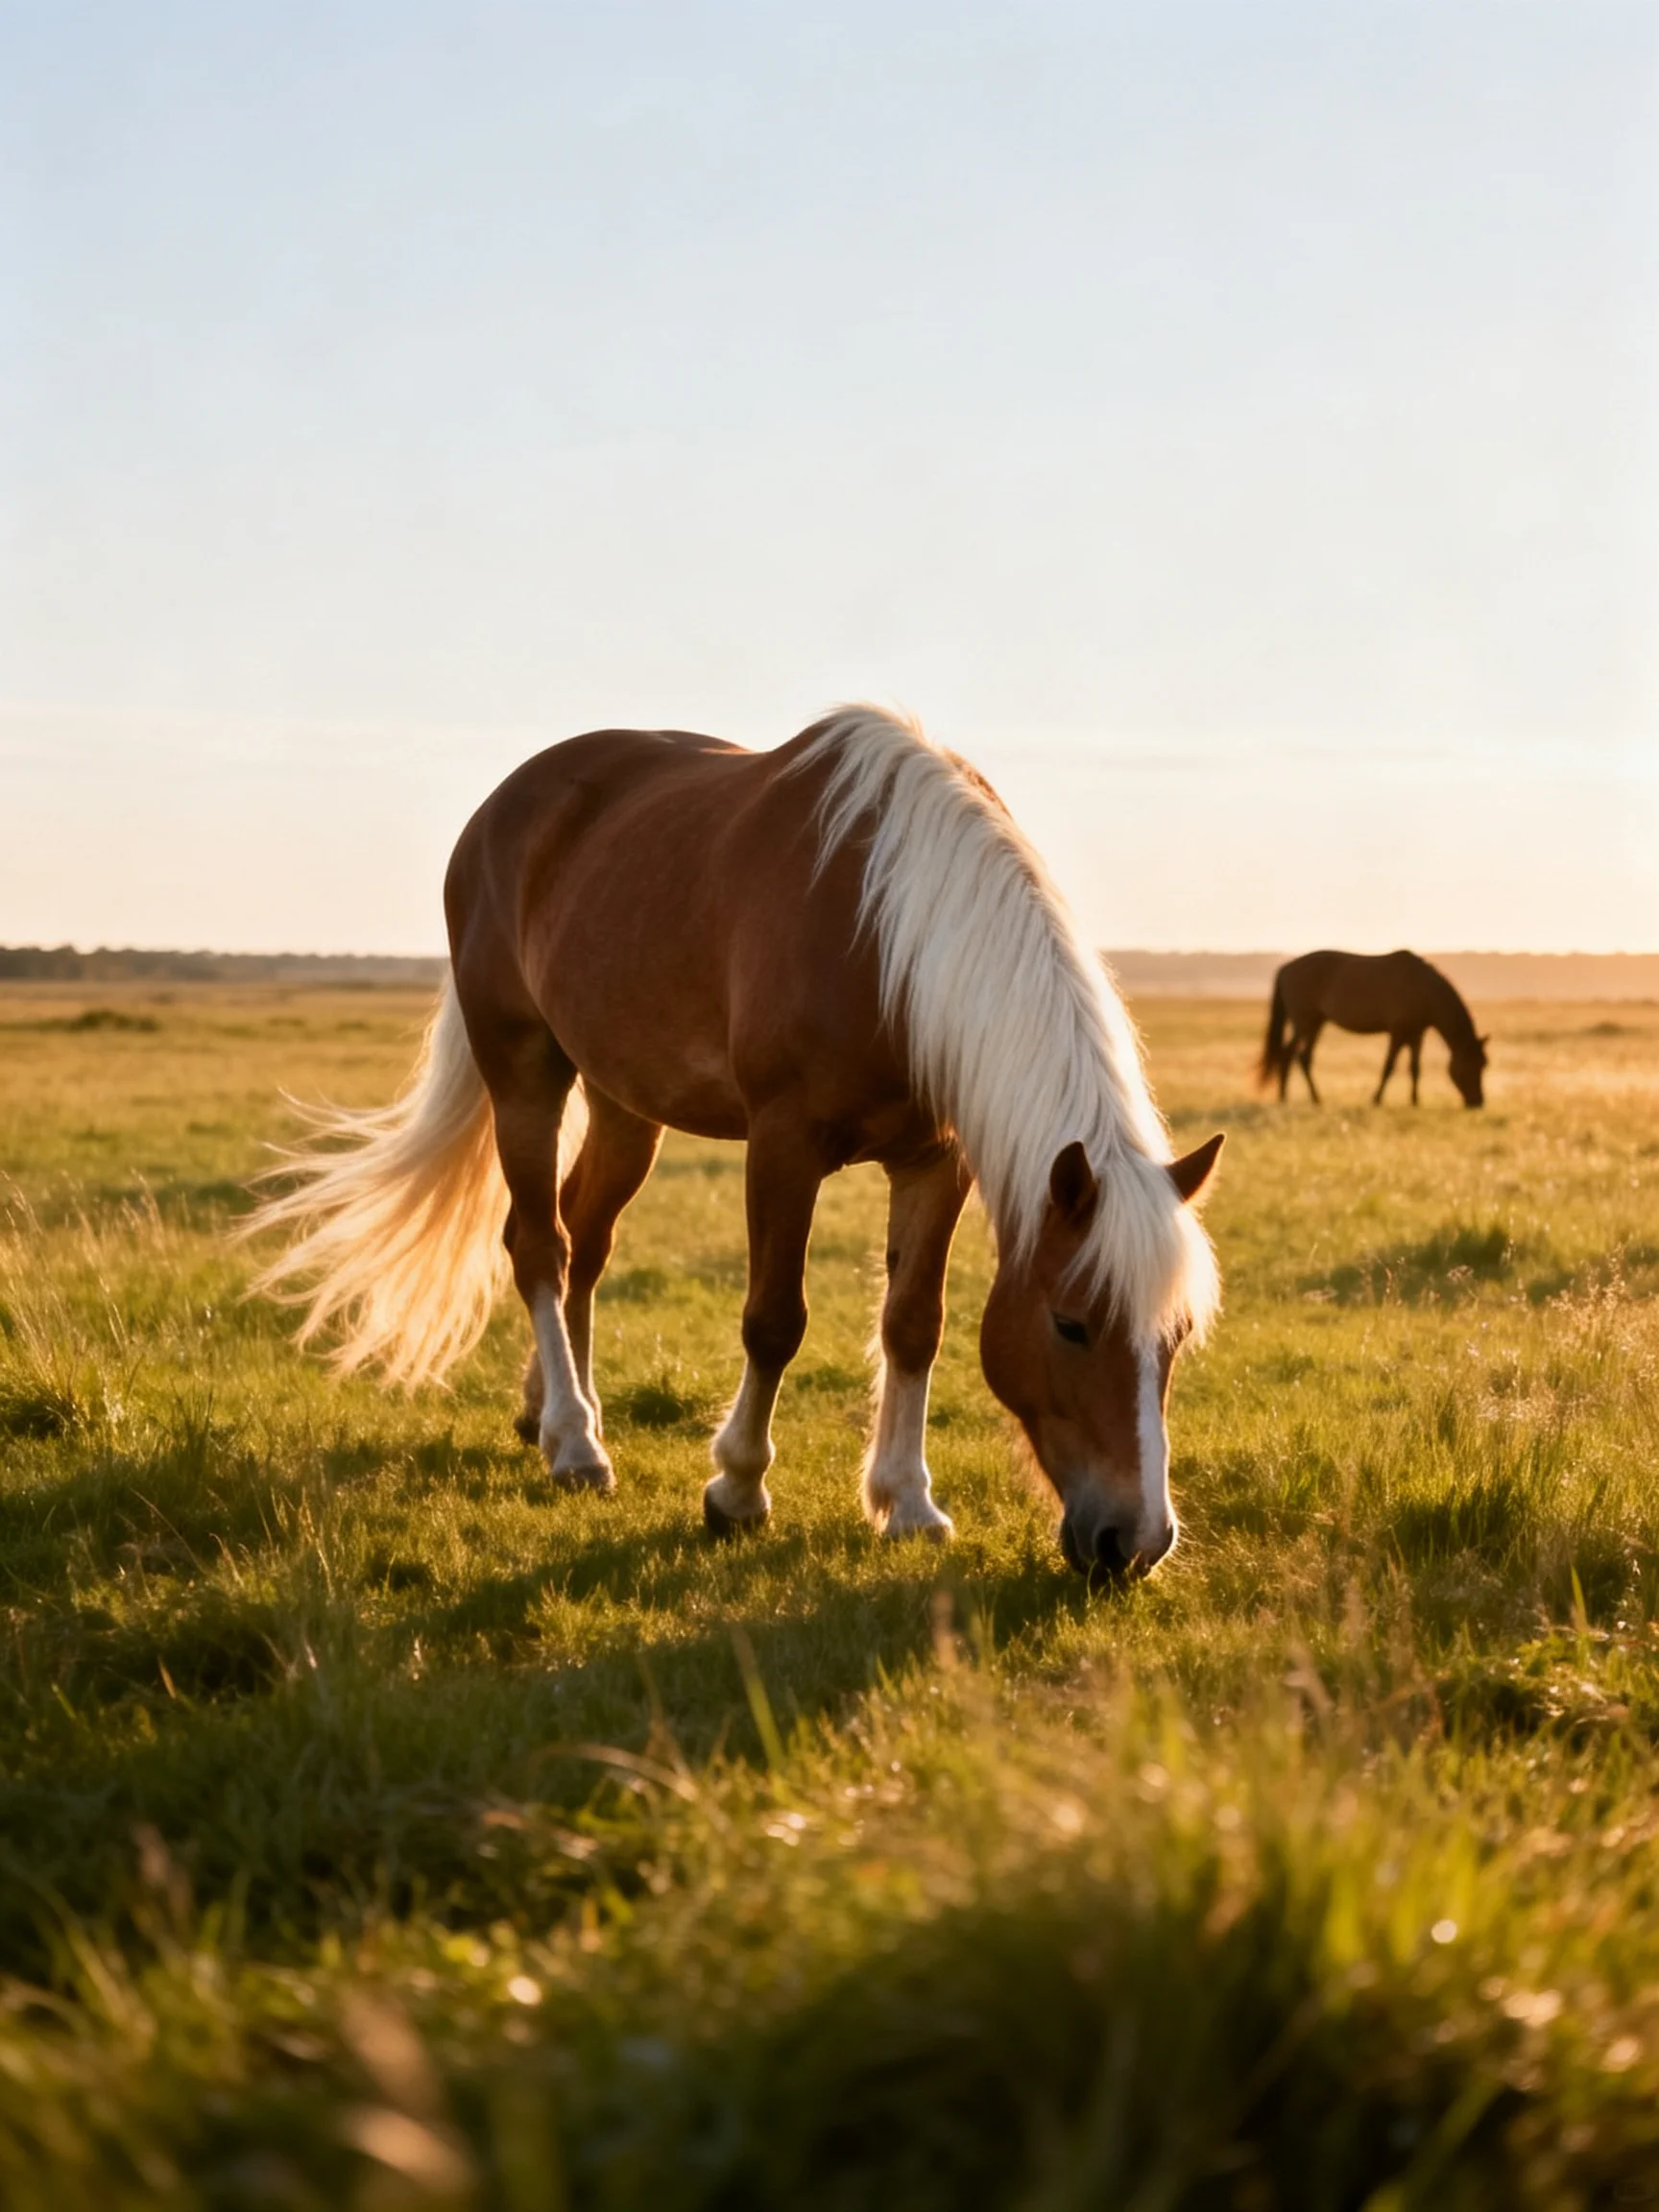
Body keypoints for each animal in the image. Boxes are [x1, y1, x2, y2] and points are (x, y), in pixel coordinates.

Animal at [248, 708, 1223, 1580]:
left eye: (1174, 1336)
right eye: (1071, 1324)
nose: (1136, 1543)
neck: (887, 931)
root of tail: (501, 809)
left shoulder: (935, 1161)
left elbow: (914, 1324)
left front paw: (906, 1502)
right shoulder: (783, 1144)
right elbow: (774, 1320)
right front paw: (738, 1490)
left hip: (623, 1103)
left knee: (583, 1243)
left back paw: (548, 1412)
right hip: (524, 1072)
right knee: (538, 1246)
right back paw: (577, 1445)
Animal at [1258, 949, 1488, 1108]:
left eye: (1483, 1064)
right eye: (1471, 1066)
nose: (1477, 1103)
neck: (1425, 991)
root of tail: (1286, 968)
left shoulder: (1416, 1034)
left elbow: (1415, 1068)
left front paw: (1415, 1101)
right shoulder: (1398, 1032)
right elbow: (1389, 1066)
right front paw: (1376, 1100)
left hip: (1317, 1023)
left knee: (1302, 1057)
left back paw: (1310, 1099)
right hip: (1304, 1022)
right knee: (1288, 1054)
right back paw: (1289, 1098)